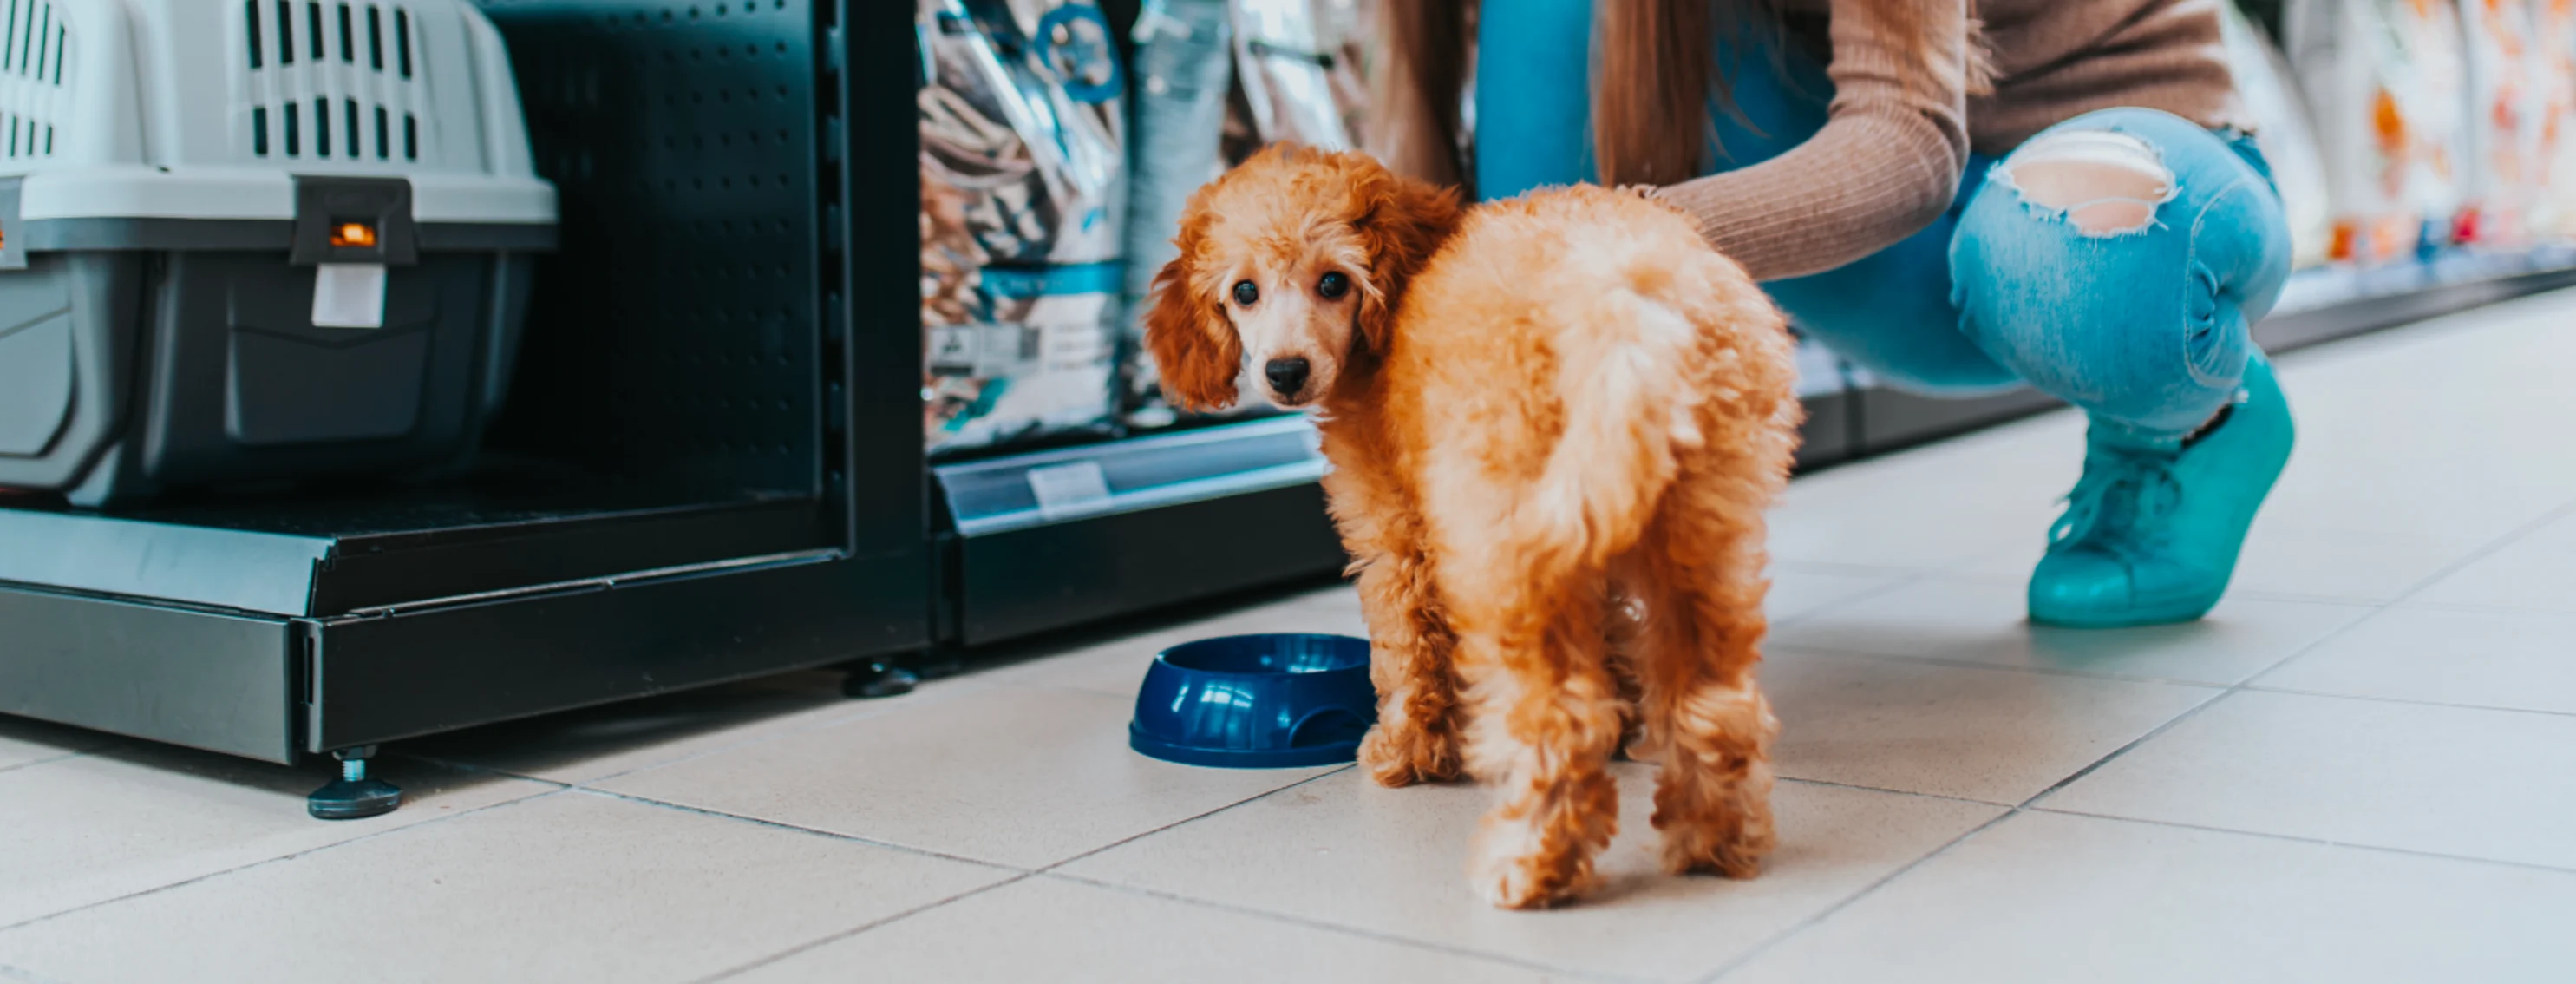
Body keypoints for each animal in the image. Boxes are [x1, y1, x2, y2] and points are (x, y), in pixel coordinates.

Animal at [1148, 146, 1813, 906]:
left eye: (1333, 283)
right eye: (1245, 292)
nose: (1285, 372)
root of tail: (1624, 304)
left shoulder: (1395, 529)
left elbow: (1407, 648)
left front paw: (1405, 753)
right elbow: (1611, 631)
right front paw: (1626, 711)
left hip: (1502, 537)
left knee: (1558, 716)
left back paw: (1529, 864)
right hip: (1699, 527)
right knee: (1713, 699)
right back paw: (1712, 843)